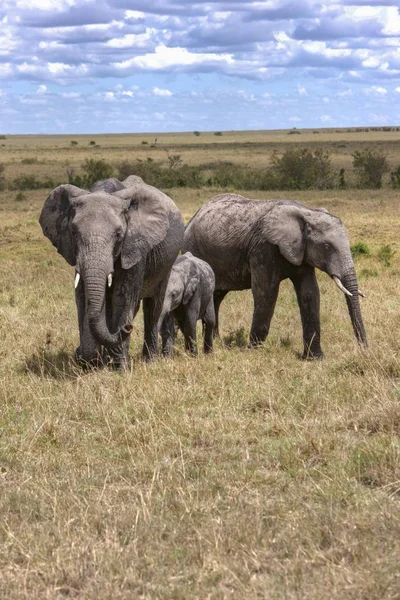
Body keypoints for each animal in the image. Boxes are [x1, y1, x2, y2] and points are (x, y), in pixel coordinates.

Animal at [39, 176, 184, 368]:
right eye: (74, 233)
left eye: (118, 234)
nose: (128, 328)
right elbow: (82, 297)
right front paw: (90, 362)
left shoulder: (134, 247)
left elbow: (121, 297)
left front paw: (121, 367)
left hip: (165, 266)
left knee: (153, 308)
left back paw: (149, 360)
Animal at [183, 195, 368, 358]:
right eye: (327, 247)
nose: (364, 350)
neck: (307, 213)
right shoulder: (264, 248)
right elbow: (267, 293)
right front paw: (254, 352)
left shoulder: (302, 252)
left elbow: (310, 294)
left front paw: (316, 358)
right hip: (195, 249)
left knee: (217, 296)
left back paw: (217, 342)